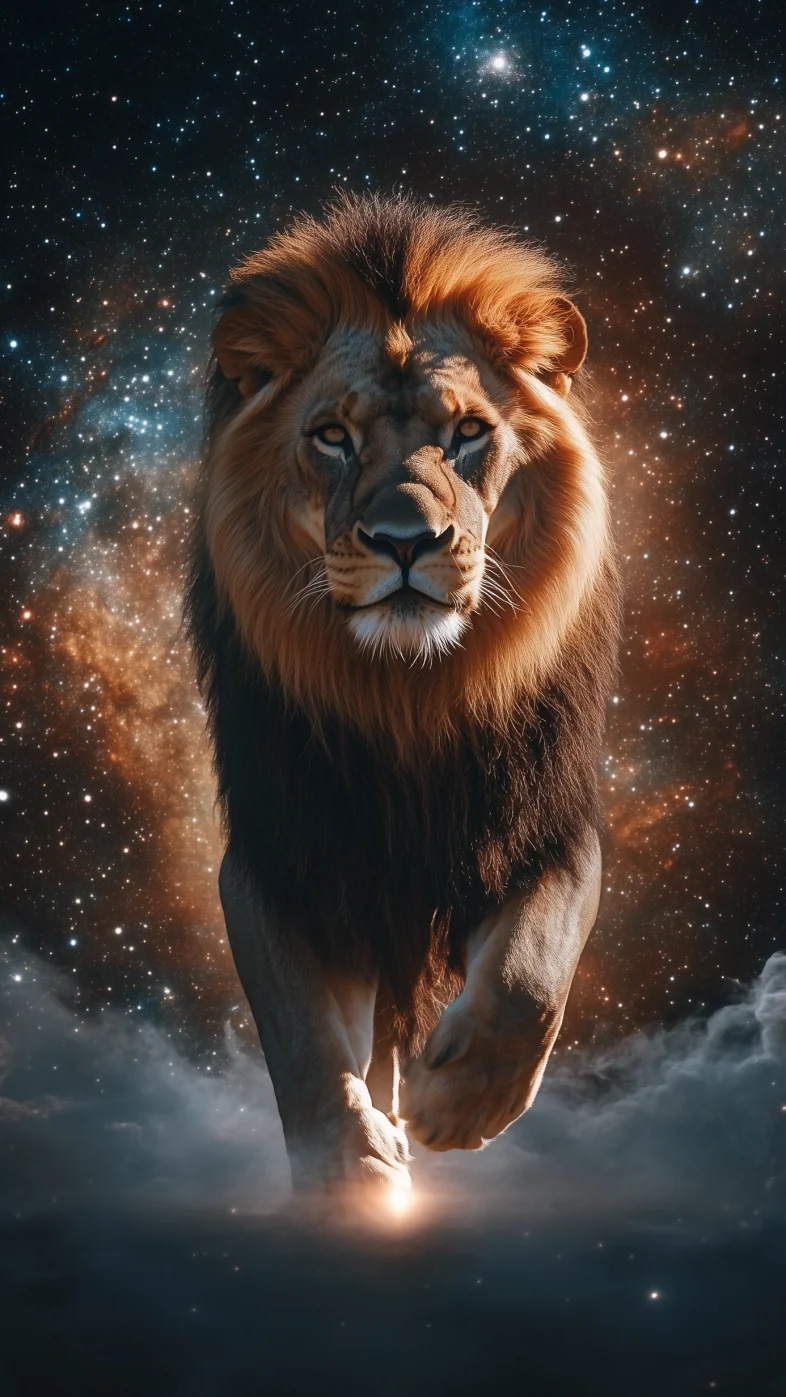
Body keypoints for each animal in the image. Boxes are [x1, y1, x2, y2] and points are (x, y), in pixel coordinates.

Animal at [186, 193, 620, 1198]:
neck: (408, 698)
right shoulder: (281, 859)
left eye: (468, 432)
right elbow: (304, 1046)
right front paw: (349, 1175)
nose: (405, 540)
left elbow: (532, 973)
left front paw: (454, 1103)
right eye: (331, 436)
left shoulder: (549, 824)